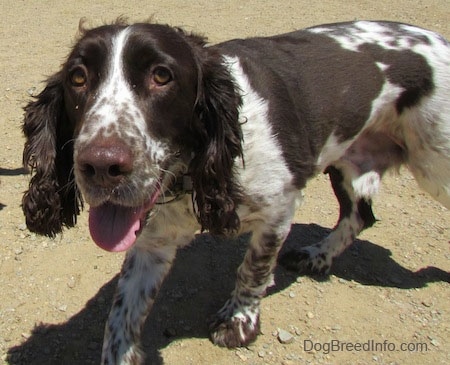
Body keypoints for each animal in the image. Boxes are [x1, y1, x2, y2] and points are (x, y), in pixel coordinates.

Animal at [22, 20, 450, 364]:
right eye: (78, 79)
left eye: (162, 75)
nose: (100, 166)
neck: (191, 174)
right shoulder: (152, 241)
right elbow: (121, 316)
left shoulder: (279, 210)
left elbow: (254, 269)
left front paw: (238, 322)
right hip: (349, 164)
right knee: (360, 215)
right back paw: (318, 256)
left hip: (435, 167)